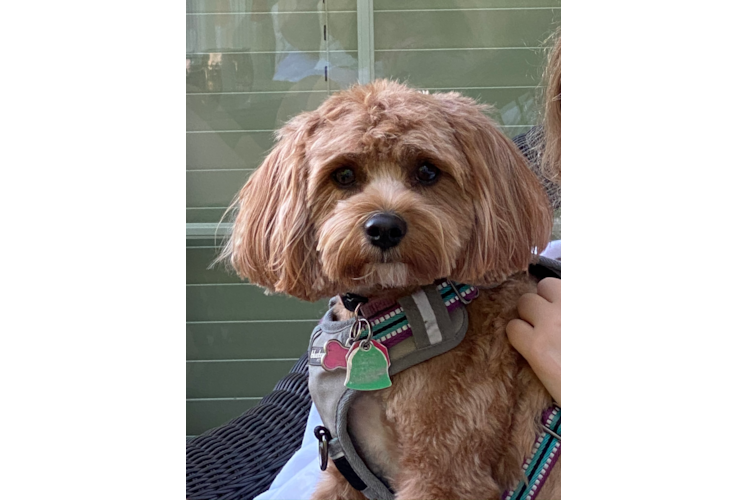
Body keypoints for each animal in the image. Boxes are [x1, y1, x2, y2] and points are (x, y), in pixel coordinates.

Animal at [224, 80, 560, 498]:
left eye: (428, 171)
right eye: (344, 175)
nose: (384, 227)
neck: (383, 316)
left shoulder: (445, 469)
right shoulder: (344, 469)